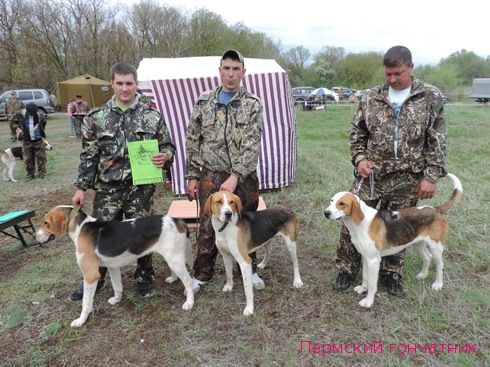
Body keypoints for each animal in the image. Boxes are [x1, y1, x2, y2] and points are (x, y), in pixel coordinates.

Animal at [35, 206, 193, 330]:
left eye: (45, 223)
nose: (34, 236)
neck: (80, 227)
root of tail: (177, 220)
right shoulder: (112, 267)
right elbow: (117, 287)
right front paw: (117, 300)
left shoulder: (90, 275)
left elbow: (86, 303)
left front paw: (81, 321)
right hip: (172, 258)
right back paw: (173, 279)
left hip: (174, 259)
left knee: (188, 280)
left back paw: (189, 302)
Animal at [326, 174, 464, 310]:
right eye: (331, 201)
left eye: (342, 203)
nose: (326, 213)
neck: (361, 222)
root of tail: (436, 210)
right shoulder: (366, 257)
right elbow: (365, 277)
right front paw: (362, 289)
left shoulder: (374, 260)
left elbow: (372, 284)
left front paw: (368, 301)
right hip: (418, 244)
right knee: (427, 257)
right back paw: (422, 275)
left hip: (436, 247)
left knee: (440, 265)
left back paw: (438, 284)